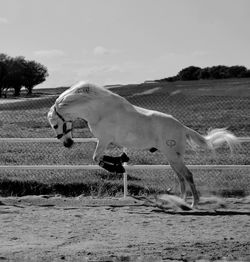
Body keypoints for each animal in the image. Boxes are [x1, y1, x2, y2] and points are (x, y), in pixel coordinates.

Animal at [47, 81, 240, 208]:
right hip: (172, 158)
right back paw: (182, 201)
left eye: (55, 125)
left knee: (188, 175)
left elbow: (97, 158)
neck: (99, 111)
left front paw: (118, 166)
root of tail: (182, 127)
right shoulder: (106, 141)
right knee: (181, 177)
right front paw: (120, 161)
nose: (67, 143)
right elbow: (105, 157)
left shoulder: (104, 140)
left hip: (173, 157)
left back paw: (194, 203)